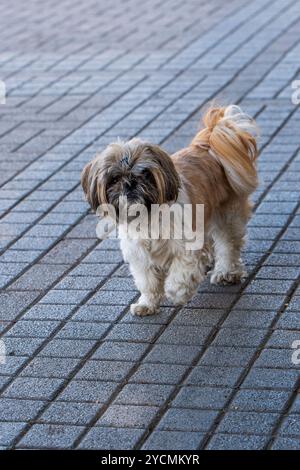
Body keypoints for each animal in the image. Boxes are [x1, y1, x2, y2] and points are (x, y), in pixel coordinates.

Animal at [81, 105, 258, 316]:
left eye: (145, 174)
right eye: (114, 179)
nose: (130, 183)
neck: (148, 215)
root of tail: (208, 146)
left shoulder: (185, 248)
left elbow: (180, 274)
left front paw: (176, 292)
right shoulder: (140, 255)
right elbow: (147, 282)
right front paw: (147, 304)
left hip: (227, 216)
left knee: (228, 245)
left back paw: (226, 272)